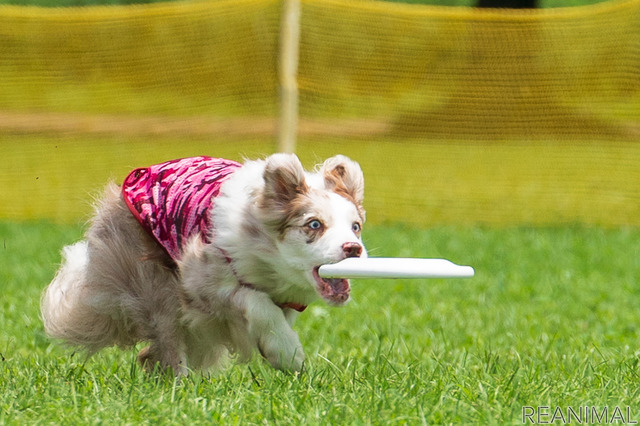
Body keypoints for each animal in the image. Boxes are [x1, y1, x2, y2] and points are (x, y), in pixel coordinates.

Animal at [41, 155, 364, 374]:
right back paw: (178, 387)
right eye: (314, 224)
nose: (354, 248)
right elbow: (257, 302)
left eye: (356, 226)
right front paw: (288, 353)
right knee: (169, 337)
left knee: (152, 352)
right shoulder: (199, 278)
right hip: (156, 283)